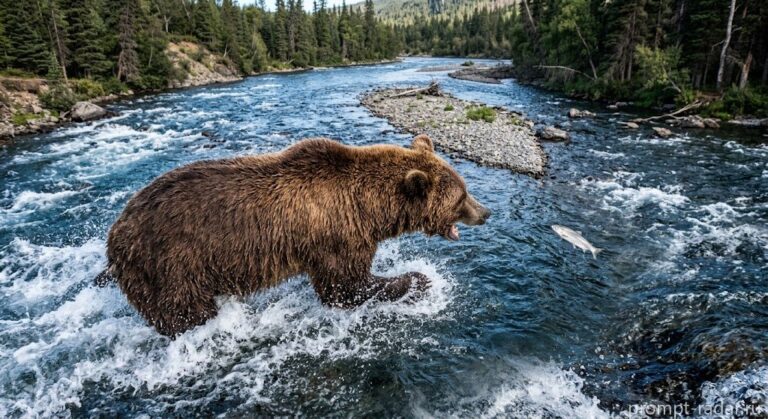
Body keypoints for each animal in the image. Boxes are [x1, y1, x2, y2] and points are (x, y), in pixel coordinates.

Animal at [101, 135, 491, 336]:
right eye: (461, 196)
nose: (485, 212)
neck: (369, 208)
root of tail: (115, 234)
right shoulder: (338, 236)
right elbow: (345, 287)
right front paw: (417, 279)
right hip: (171, 266)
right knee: (184, 314)